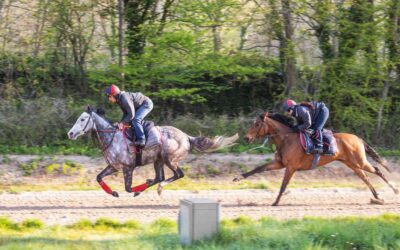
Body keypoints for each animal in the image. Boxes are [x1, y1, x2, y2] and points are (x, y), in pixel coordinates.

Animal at [67, 106, 239, 196]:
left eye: (83, 119)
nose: (70, 133)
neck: (112, 137)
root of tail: (187, 137)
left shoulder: (128, 167)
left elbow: (128, 188)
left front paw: (134, 191)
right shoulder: (114, 166)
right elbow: (98, 177)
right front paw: (113, 193)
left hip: (170, 159)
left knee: (177, 175)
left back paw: (159, 187)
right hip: (158, 161)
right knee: (159, 177)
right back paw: (152, 184)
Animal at [233, 112, 398, 205]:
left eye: (257, 124)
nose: (246, 138)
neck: (286, 139)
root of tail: (358, 138)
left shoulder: (291, 167)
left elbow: (283, 186)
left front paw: (275, 202)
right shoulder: (280, 163)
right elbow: (258, 169)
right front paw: (238, 177)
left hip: (359, 161)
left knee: (377, 170)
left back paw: (395, 190)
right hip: (352, 164)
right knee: (366, 178)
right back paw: (377, 197)